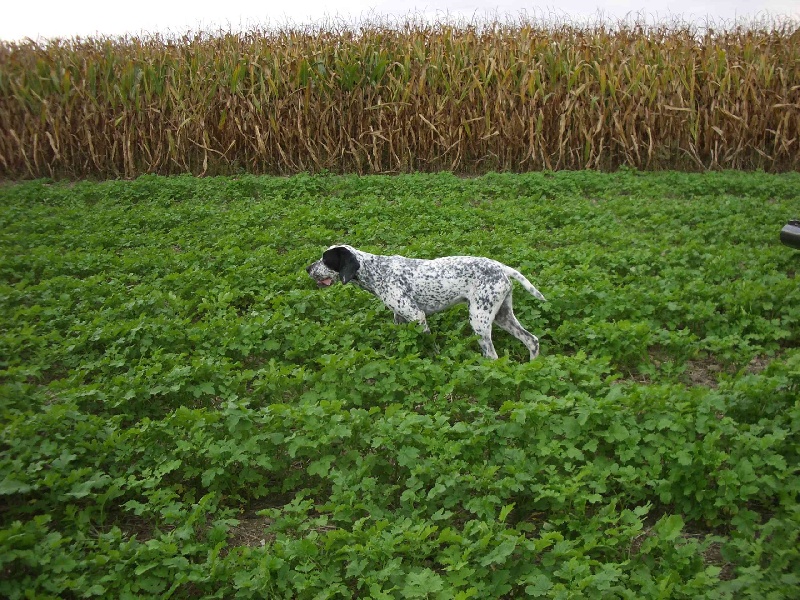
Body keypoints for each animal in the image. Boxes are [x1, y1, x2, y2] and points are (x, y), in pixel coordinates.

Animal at [304, 245, 544, 358]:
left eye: (326, 260)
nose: (307, 268)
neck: (376, 271)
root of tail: (501, 267)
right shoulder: (400, 318)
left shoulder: (417, 316)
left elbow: (430, 345)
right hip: (502, 315)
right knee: (532, 340)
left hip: (479, 320)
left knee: (493, 355)